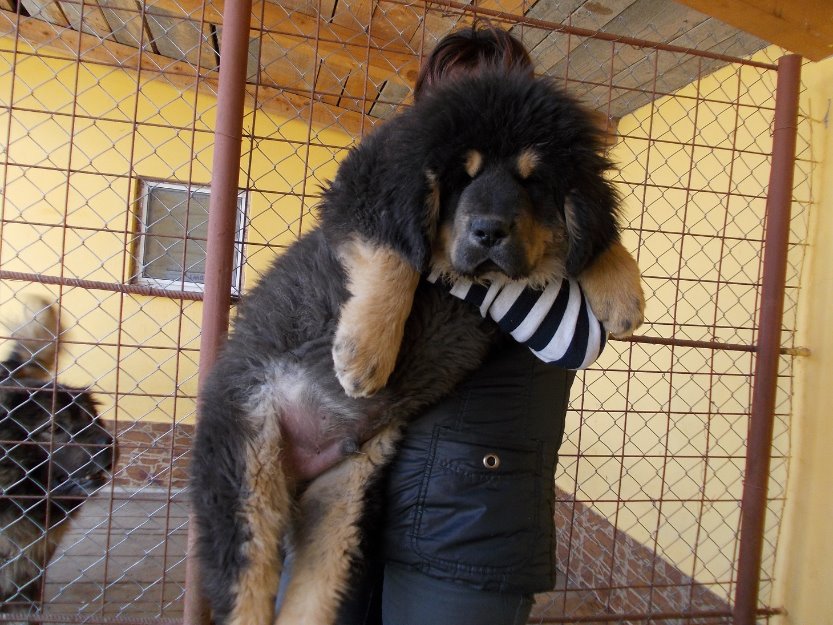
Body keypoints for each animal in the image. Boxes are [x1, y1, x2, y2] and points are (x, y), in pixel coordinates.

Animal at [190, 69, 644, 624]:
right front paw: (366, 352)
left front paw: (622, 289)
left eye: (532, 181)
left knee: (314, 587)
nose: (488, 231)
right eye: (461, 178)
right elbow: (400, 251)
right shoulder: (362, 188)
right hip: (245, 462)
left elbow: (594, 237)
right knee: (245, 580)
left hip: (342, 501)